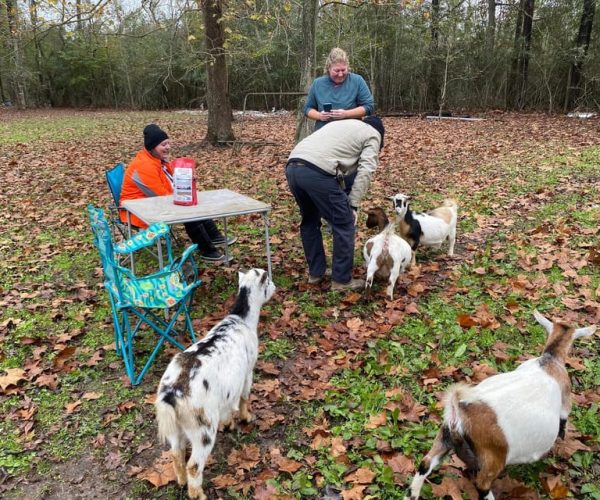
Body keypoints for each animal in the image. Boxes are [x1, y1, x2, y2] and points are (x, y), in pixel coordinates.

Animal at [155, 270, 276, 500]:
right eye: (268, 281)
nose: (275, 286)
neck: (242, 320)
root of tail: (172, 394)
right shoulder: (247, 373)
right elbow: (245, 397)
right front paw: (246, 418)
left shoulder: (228, 389)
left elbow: (228, 407)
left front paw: (229, 424)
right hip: (203, 428)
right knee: (194, 465)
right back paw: (198, 494)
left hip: (176, 428)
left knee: (176, 453)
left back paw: (181, 481)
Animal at [406, 310, 596, 498]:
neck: (549, 360)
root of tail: (459, 413)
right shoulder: (565, 401)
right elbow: (563, 420)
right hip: (493, 456)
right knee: (482, 484)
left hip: (444, 438)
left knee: (425, 464)